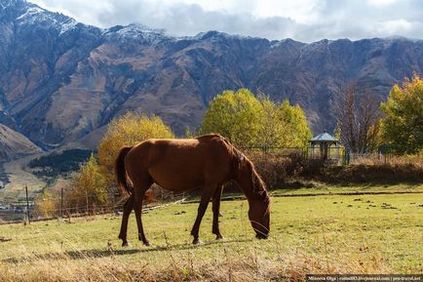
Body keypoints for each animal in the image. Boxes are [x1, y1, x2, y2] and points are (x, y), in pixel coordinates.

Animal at [114, 133, 270, 246]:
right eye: (265, 211)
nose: (265, 235)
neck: (229, 156)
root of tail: (131, 148)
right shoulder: (210, 185)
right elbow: (202, 208)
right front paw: (196, 237)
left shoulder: (218, 185)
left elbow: (216, 209)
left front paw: (218, 234)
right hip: (141, 186)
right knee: (137, 209)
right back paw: (145, 240)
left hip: (139, 187)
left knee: (127, 208)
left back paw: (125, 240)